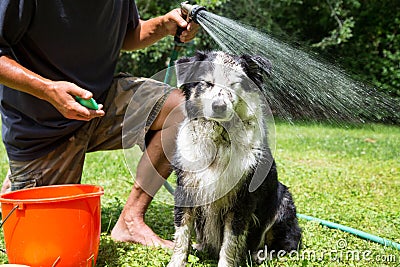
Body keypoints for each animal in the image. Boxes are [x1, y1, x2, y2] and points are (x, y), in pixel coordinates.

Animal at [167, 51, 302, 266]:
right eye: (207, 83)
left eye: (234, 84)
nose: (219, 107)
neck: (219, 140)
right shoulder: (187, 187)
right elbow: (182, 233)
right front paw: (177, 262)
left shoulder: (242, 200)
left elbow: (230, 242)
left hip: (283, 201)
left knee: (288, 243)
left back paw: (261, 254)